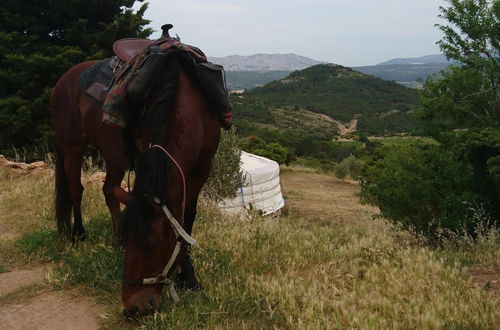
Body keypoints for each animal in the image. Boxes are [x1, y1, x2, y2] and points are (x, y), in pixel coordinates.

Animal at [49, 29, 226, 316]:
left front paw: (189, 277)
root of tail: (64, 80)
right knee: (76, 188)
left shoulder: (202, 166)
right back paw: (79, 234)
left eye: (153, 244)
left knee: (109, 190)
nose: (133, 308)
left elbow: (187, 217)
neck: (186, 103)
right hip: (72, 145)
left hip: (115, 155)